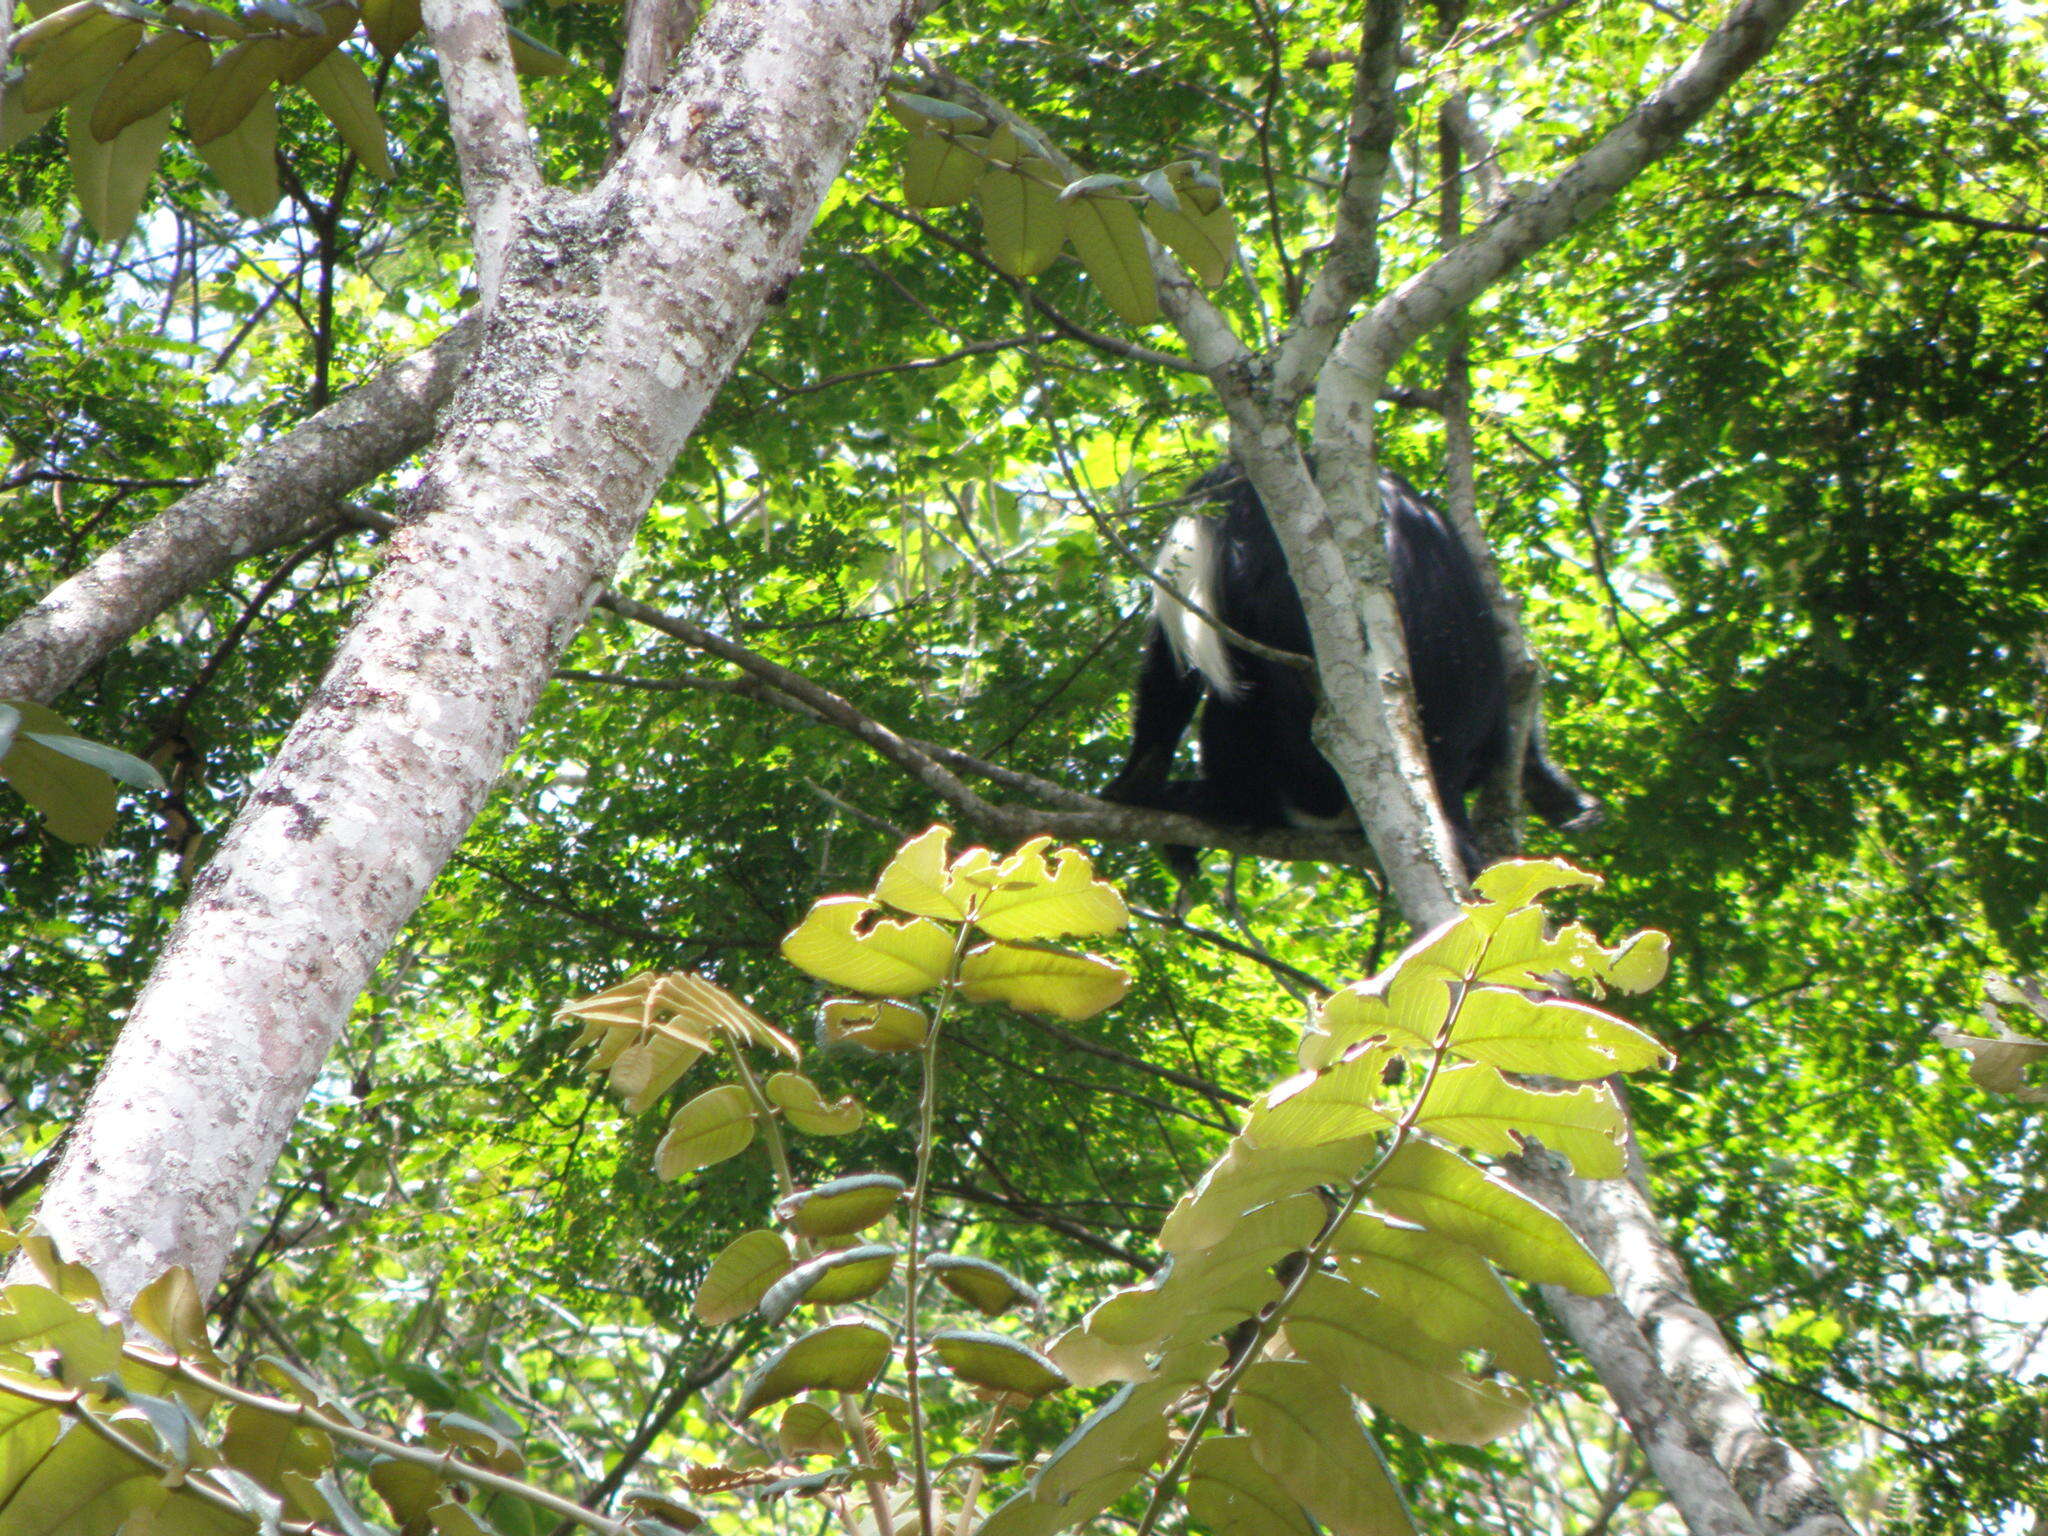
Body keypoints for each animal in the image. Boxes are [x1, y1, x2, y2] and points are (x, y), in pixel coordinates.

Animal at [1105, 462, 1597, 876]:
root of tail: (1443, 777)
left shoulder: (1226, 506)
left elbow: (1176, 666)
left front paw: (1133, 785)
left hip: (1305, 776)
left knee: (1240, 696)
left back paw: (1217, 802)